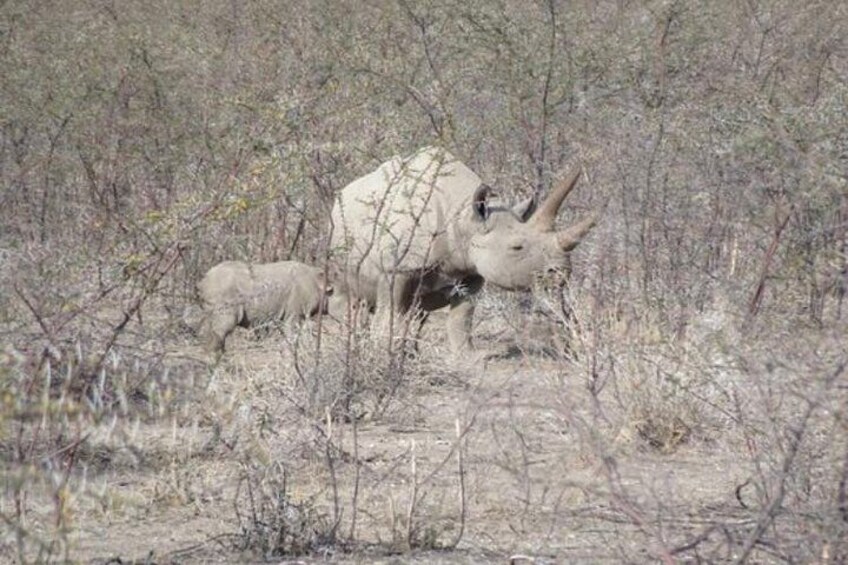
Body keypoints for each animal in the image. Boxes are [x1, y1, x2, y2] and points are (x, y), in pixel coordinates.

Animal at [199, 260, 332, 356]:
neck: (319, 283)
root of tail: (204, 281)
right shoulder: (295, 312)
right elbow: (291, 332)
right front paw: (291, 355)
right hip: (223, 296)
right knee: (222, 328)